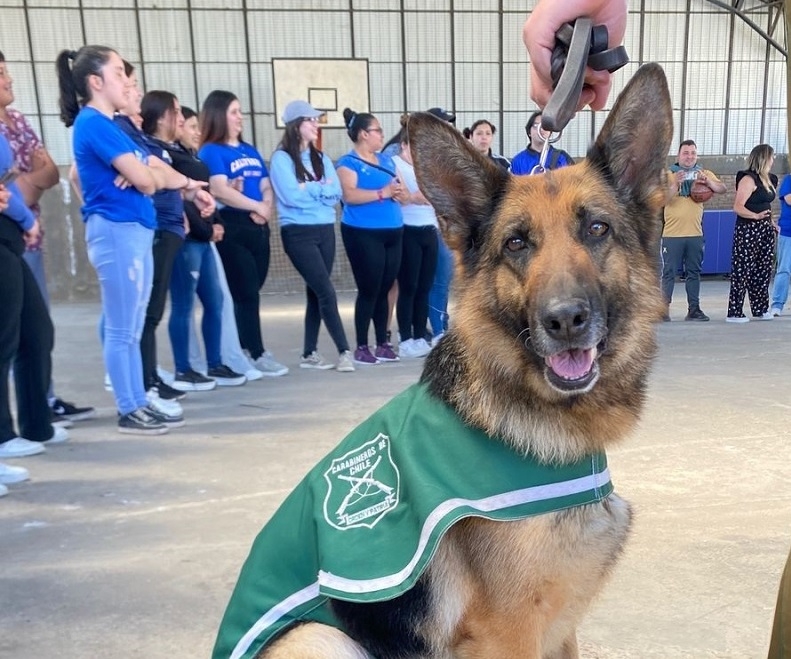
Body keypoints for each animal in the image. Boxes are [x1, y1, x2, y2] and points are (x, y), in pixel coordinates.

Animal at [217, 63, 676, 659]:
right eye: (517, 243)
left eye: (596, 229)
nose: (565, 320)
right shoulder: (508, 634)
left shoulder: (560, 631)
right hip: (318, 636)